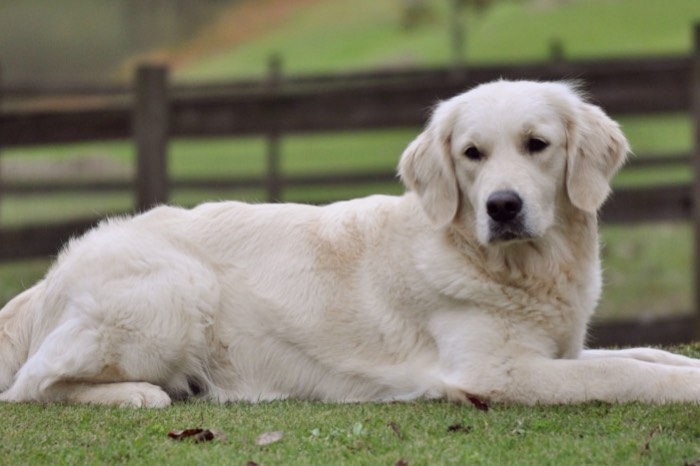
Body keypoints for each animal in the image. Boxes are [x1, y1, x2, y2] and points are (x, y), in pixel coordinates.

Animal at [1, 81, 700, 408]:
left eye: (538, 144)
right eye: (471, 154)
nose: (502, 206)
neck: (516, 267)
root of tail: (51, 276)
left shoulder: (560, 349)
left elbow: (645, 353)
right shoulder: (495, 371)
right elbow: (625, 370)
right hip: (177, 290)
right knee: (31, 385)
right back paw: (138, 394)